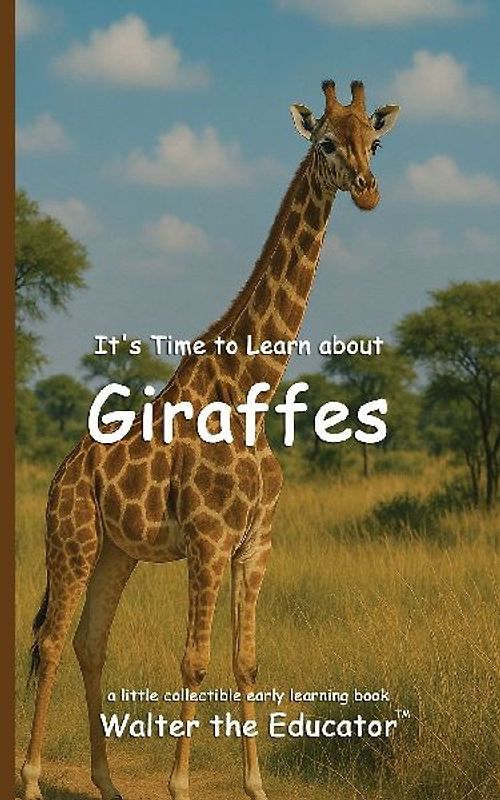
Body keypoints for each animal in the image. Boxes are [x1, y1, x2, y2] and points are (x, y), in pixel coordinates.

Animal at [21, 80, 400, 800]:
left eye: (376, 138)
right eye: (325, 143)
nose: (367, 191)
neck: (253, 395)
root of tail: (61, 471)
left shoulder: (256, 543)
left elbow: (246, 661)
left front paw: (254, 786)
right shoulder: (208, 539)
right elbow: (194, 661)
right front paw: (179, 785)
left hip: (117, 552)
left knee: (89, 641)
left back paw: (107, 784)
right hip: (71, 537)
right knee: (52, 640)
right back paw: (28, 777)